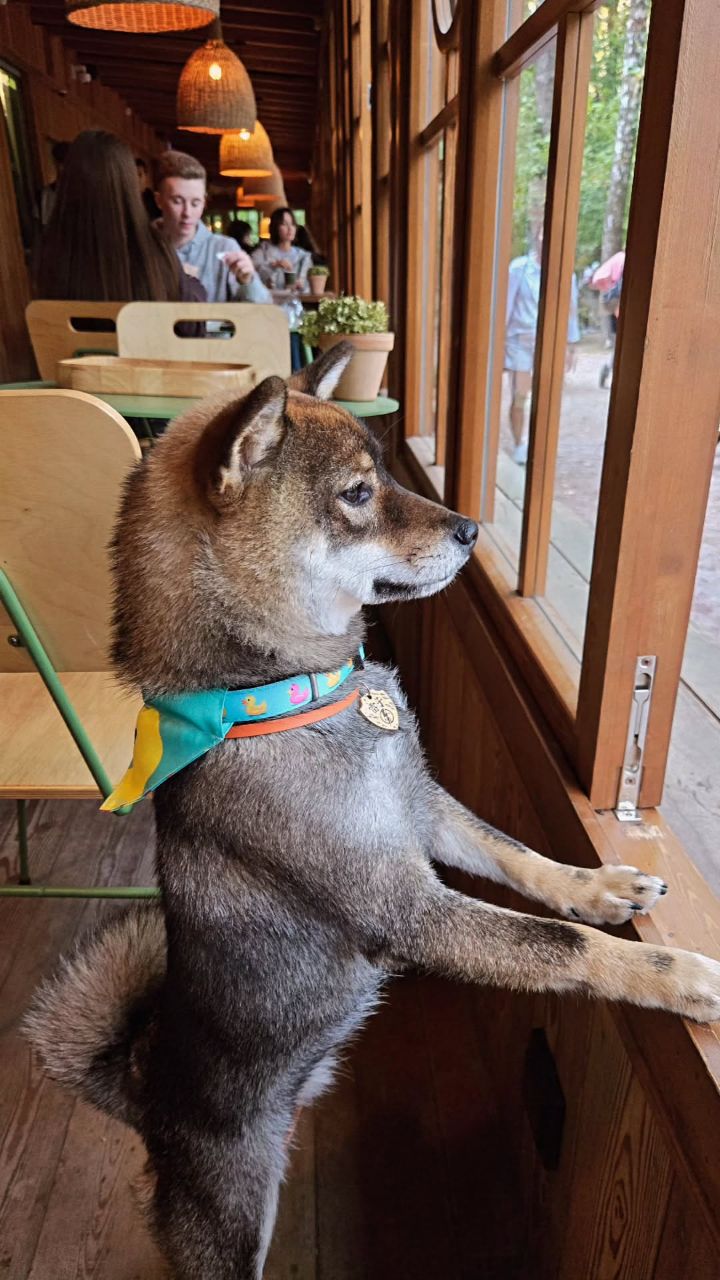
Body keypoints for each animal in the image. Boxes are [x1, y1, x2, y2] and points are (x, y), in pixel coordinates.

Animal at [25, 343, 720, 1279]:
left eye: (388, 475)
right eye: (359, 493)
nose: (470, 529)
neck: (288, 697)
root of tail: (141, 1087)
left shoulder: (425, 814)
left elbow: (525, 862)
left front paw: (602, 886)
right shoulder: (410, 909)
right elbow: (565, 947)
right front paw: (680, 976)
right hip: (229, 1218)